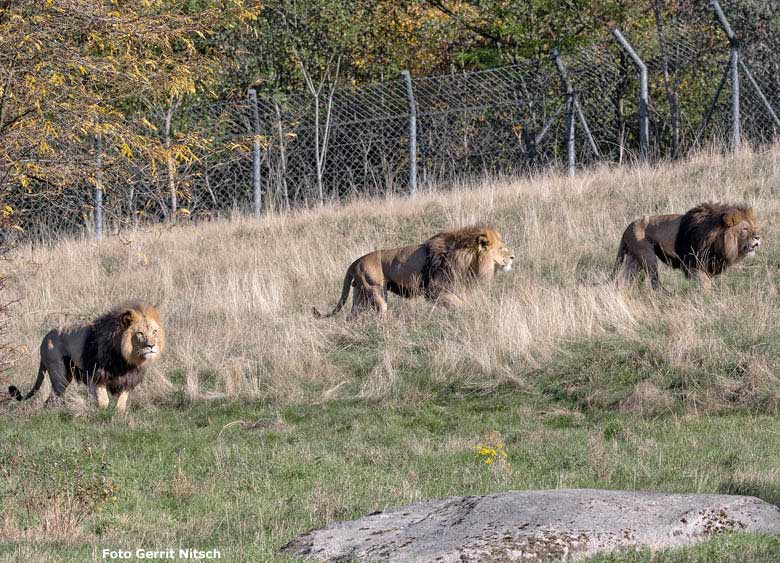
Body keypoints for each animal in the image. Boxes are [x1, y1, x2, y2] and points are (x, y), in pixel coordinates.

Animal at [8, 304, 165, 414]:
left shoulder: (129, 379)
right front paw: (100, 415)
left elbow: (121, 404)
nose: (151, 346)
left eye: (154, 332)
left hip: (66, 376)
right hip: (59, 375)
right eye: (140, 333)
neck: (127, 358)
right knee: (51, 398)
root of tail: (45, 338)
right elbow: (104, 400)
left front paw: (118, 417)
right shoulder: (95, 374)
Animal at [314, 226, 516, 322]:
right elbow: (461, 305)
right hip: (376, 291)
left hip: (361, 295)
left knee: (351, 316)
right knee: (381, 314)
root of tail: (356, 261)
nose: (513, 257)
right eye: (501, 248)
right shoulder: (434, 291)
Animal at [612, 203, 760, 290]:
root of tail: (627, 228)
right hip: (648, 257)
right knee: (655, 284)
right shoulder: (693, 264)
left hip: (634, 259)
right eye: (745, 229)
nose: (758, 237)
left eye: (754, 227)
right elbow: (705, 285)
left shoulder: (708, 265)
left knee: (623, 280)